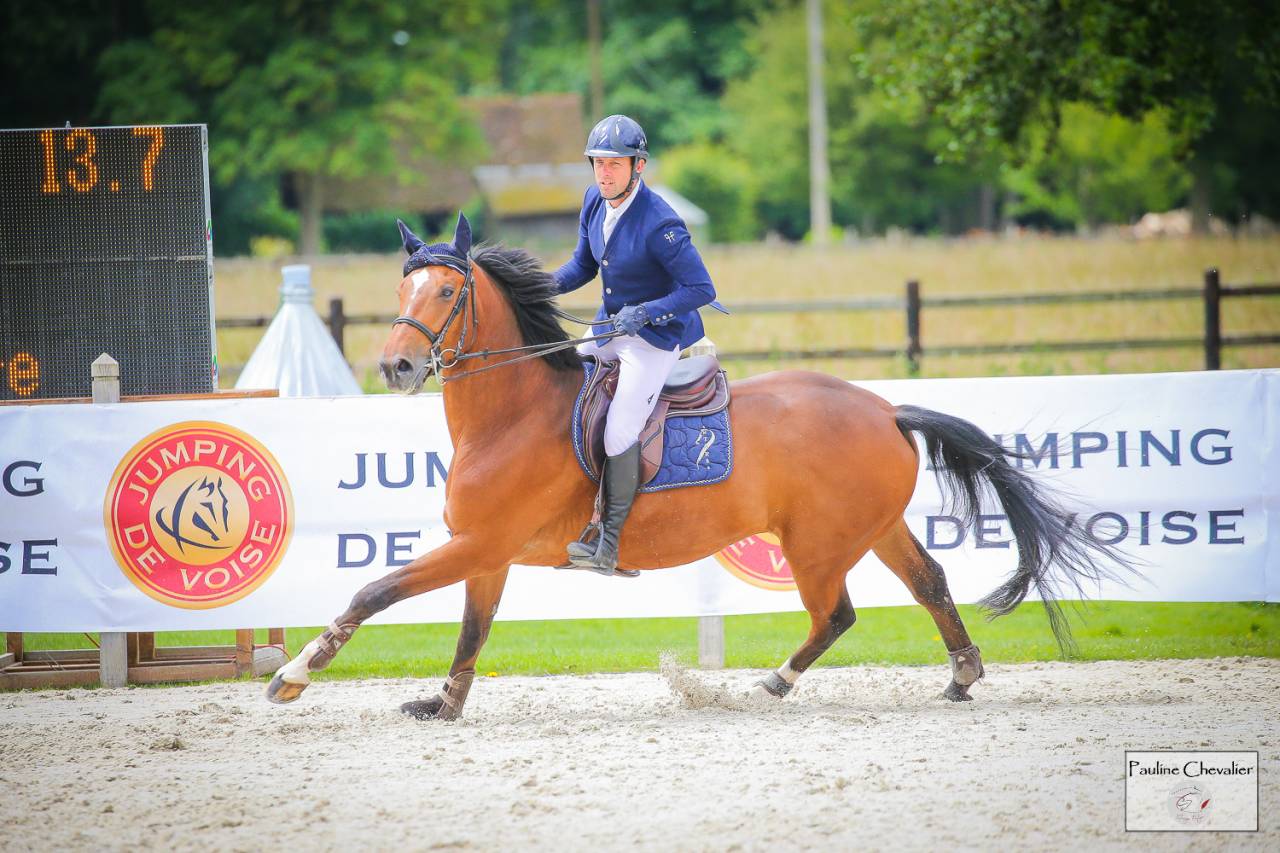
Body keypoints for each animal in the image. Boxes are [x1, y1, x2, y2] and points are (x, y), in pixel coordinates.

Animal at [266, 215, 1129, 718]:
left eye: (447, 291)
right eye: (404, 284)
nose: (397, 366)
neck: (510, 414)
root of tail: (884, 408)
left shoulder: (478, 544)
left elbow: (373, 590)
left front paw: (294, 674)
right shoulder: (487, 553)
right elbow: (472, 630)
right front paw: (444, 702)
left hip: (815, 543)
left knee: (837, 613)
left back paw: (773, 682)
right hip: (874, 527)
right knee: (931, 584)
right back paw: (961, 674)